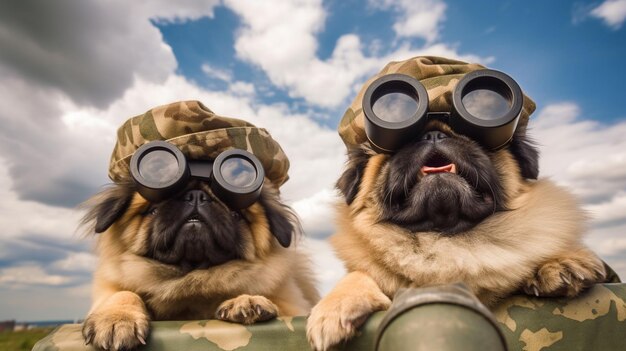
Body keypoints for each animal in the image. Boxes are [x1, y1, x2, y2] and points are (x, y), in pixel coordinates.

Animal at [80, 100, 320, 350]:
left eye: (235, 213)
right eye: (153, 210)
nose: (196, 196)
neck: (191, 277)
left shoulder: (294, 307)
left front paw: (246, 301)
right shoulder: (112, 290)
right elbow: (123, 294)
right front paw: (117, 318)